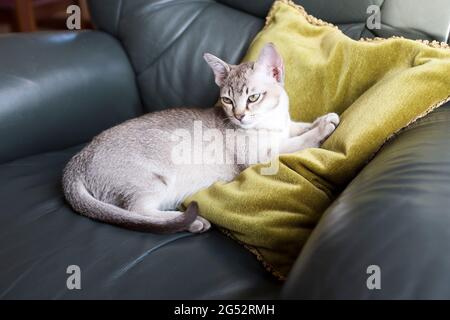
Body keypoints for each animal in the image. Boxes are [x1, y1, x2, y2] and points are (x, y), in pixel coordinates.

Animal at [61, 43, 340, 232]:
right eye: (227, 100)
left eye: (253, 97)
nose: (239, 116)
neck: (270, 123)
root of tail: (75, 163)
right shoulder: (263, 157)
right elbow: (297, 142)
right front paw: (322, 129)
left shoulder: (284, 128)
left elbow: (297, 127)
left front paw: (324, 118)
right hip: (152, 181)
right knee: (136, 211)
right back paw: (193, 222)